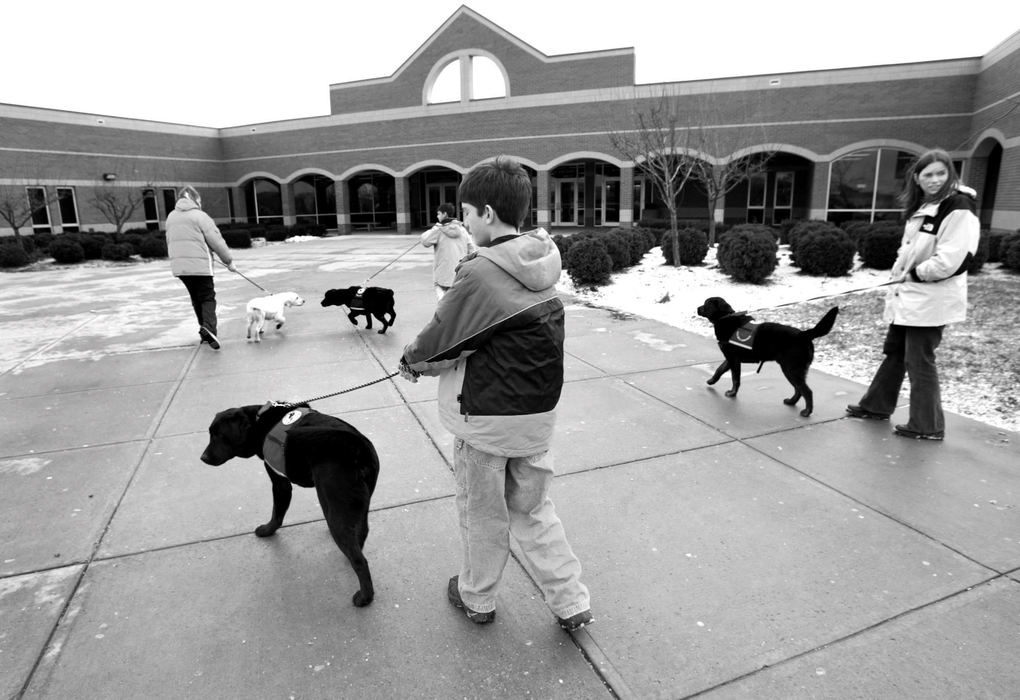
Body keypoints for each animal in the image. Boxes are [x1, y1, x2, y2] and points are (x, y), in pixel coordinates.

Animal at [198, 406, 379, 608]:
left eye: (219, 435)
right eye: (210, 434)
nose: (203, 458)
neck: (259, 421)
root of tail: (358, 448)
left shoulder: (280, 484)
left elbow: (277, 513)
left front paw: (267, 530)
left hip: (335, 509)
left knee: (360, 560)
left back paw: (365, 597)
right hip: (358, 506)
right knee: (361, 535)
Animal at [697, 295, 840, 416]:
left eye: (706, 304)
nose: (697, 308)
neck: (725, 318)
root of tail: (804, 334)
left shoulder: (733, 359)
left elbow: (735, 379)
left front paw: (732, 393)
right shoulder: (730, 359)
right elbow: (719, 369)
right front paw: (711, 380)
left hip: (790, 369)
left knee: (806, 391)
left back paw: (807, 411)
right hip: (795, 370)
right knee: (799, 389)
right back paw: (791, 402)